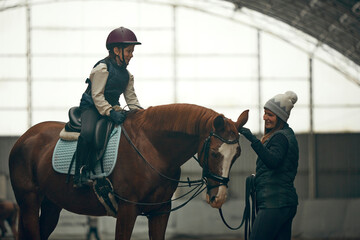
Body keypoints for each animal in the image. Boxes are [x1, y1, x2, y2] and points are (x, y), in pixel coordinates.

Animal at [9, 103, 249, 240]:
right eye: (215, 154)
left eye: (237, 155)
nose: (219, 198)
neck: (154, 150)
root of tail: (25, 137)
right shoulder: (127, 209)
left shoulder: (160, 211)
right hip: (29, 201)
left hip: (51, 204)